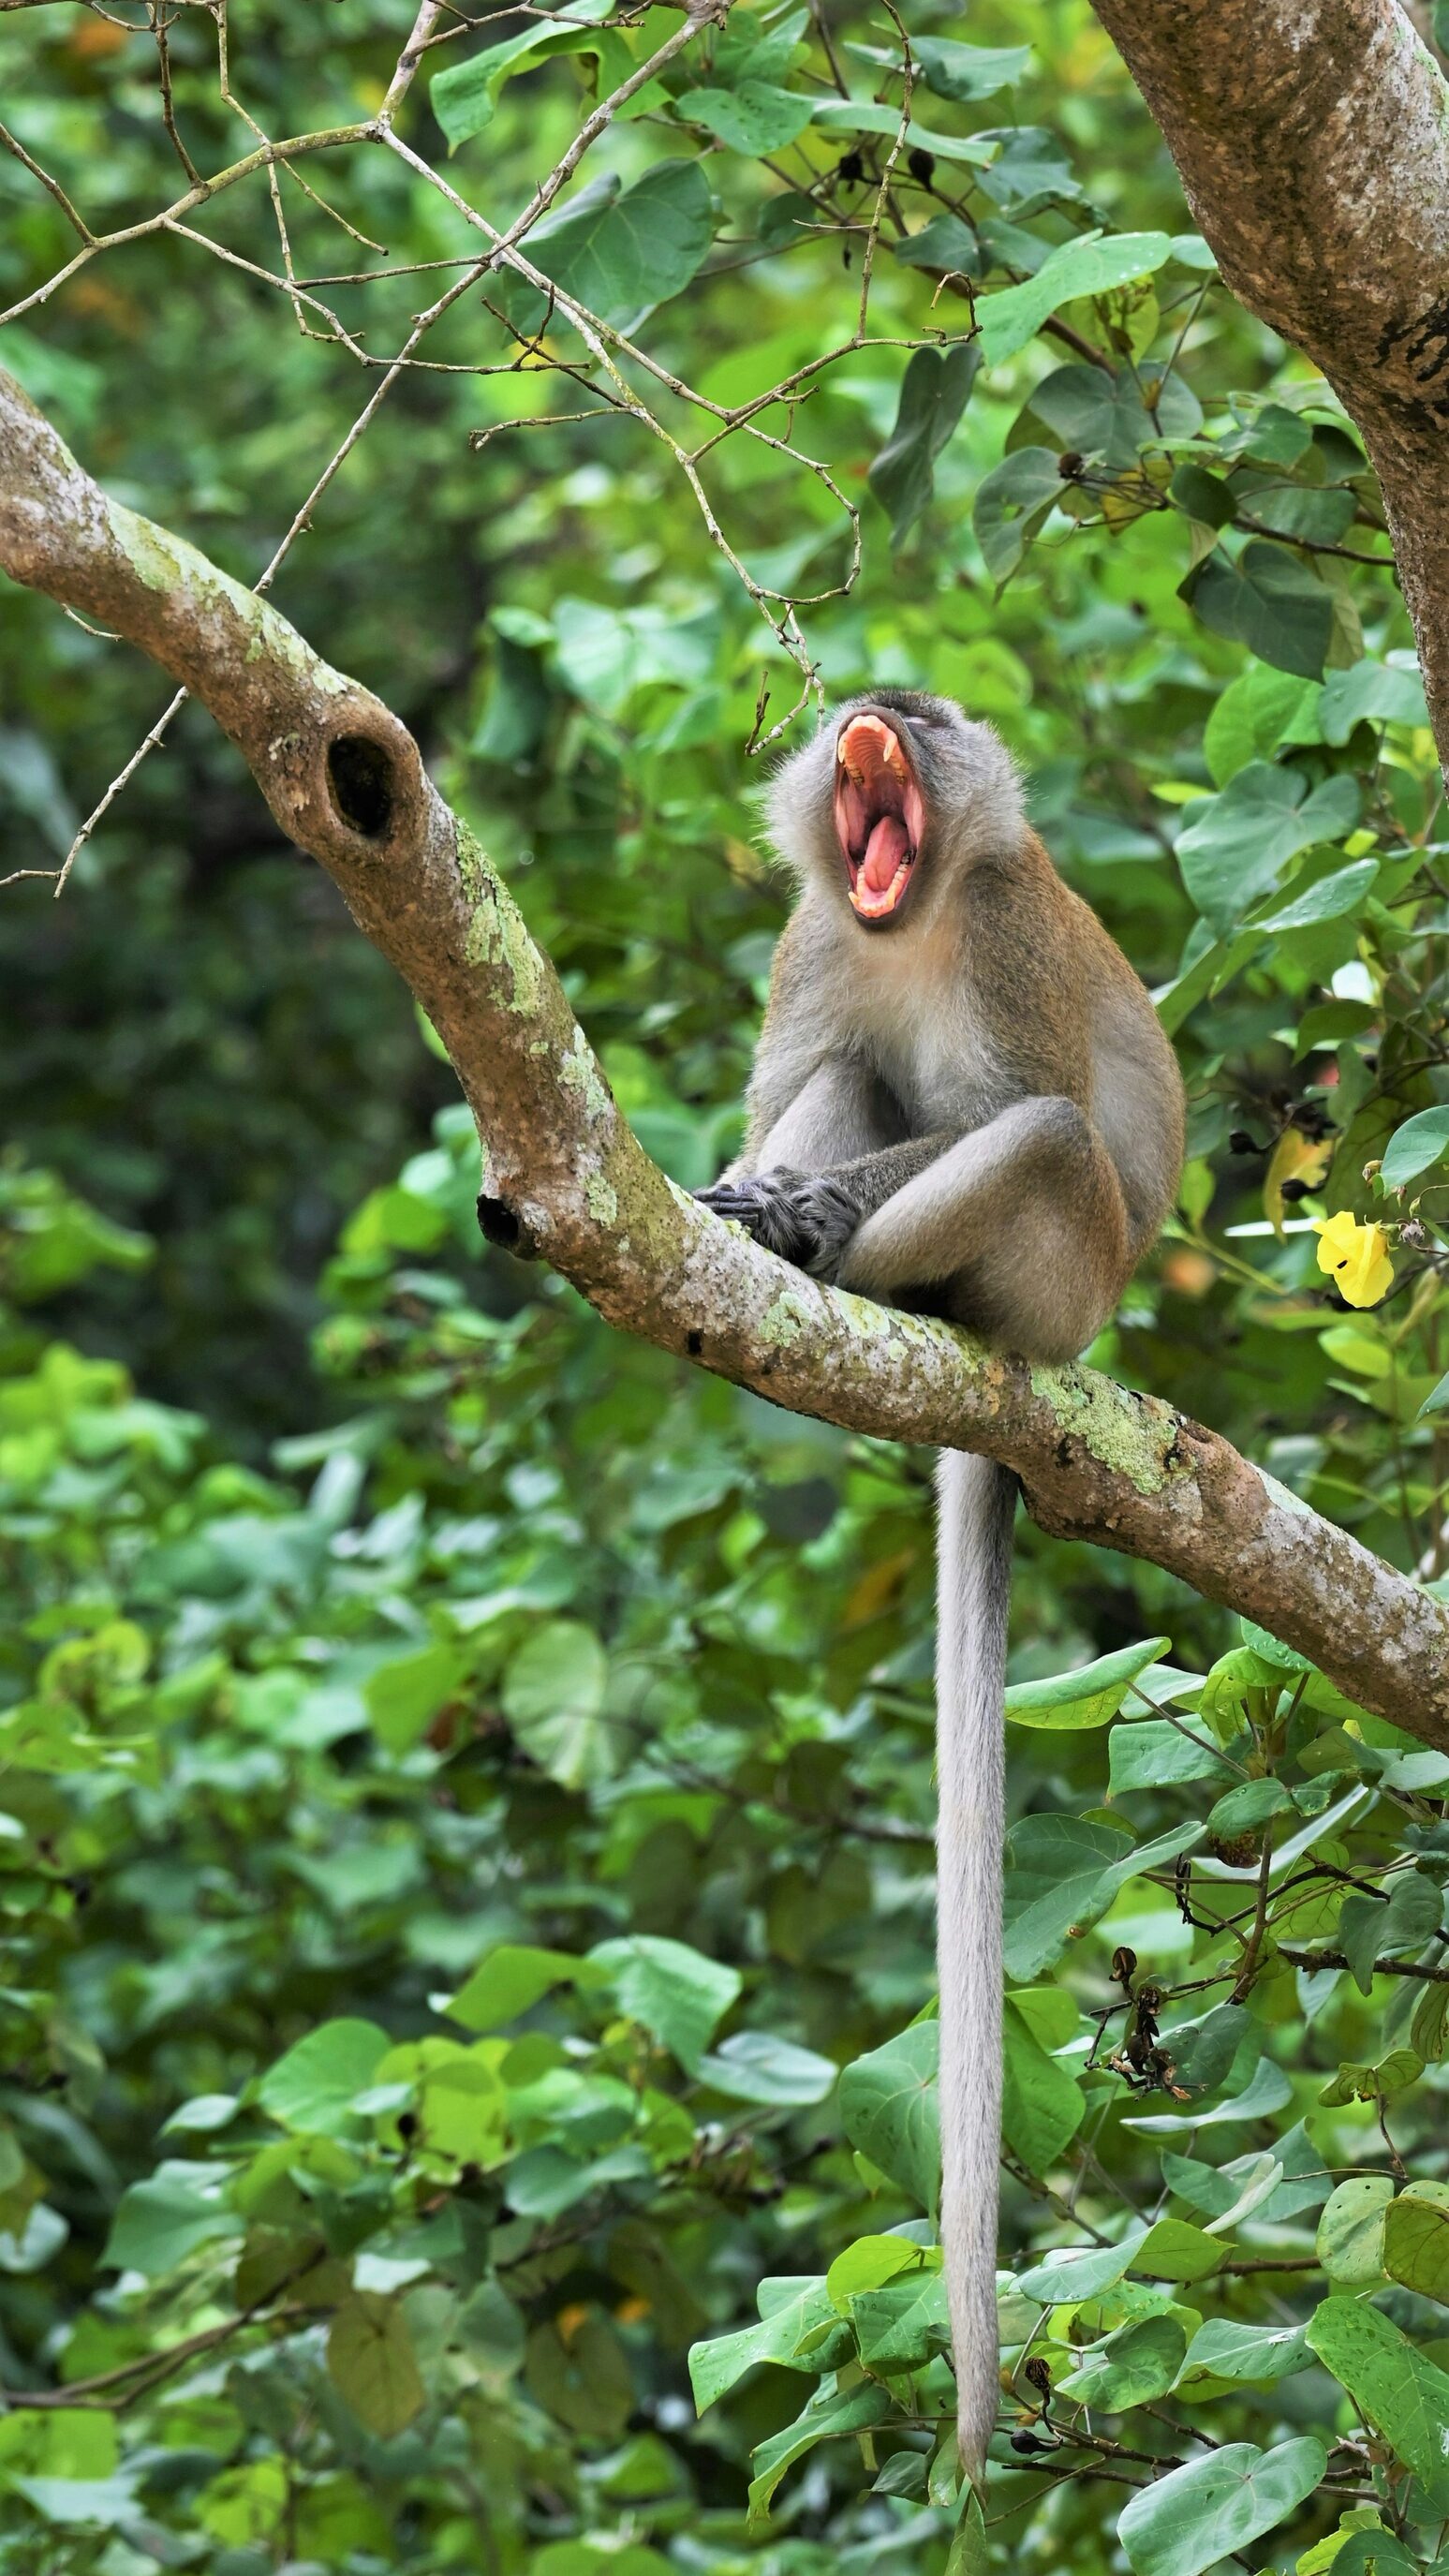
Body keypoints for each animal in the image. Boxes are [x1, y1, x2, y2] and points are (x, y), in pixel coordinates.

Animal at [694, 695, 1183, 2483]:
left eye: (926, 722)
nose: (874, 720)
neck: (901, 922)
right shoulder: (808, 944)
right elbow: (801, 1072)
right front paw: (757, 1191)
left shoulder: (1006, 941)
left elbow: (1012, 1103)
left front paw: (802, 1207)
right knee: (849, 1072)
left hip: (1061, 1270)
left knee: (1035, 1141)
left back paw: (852, 1262)